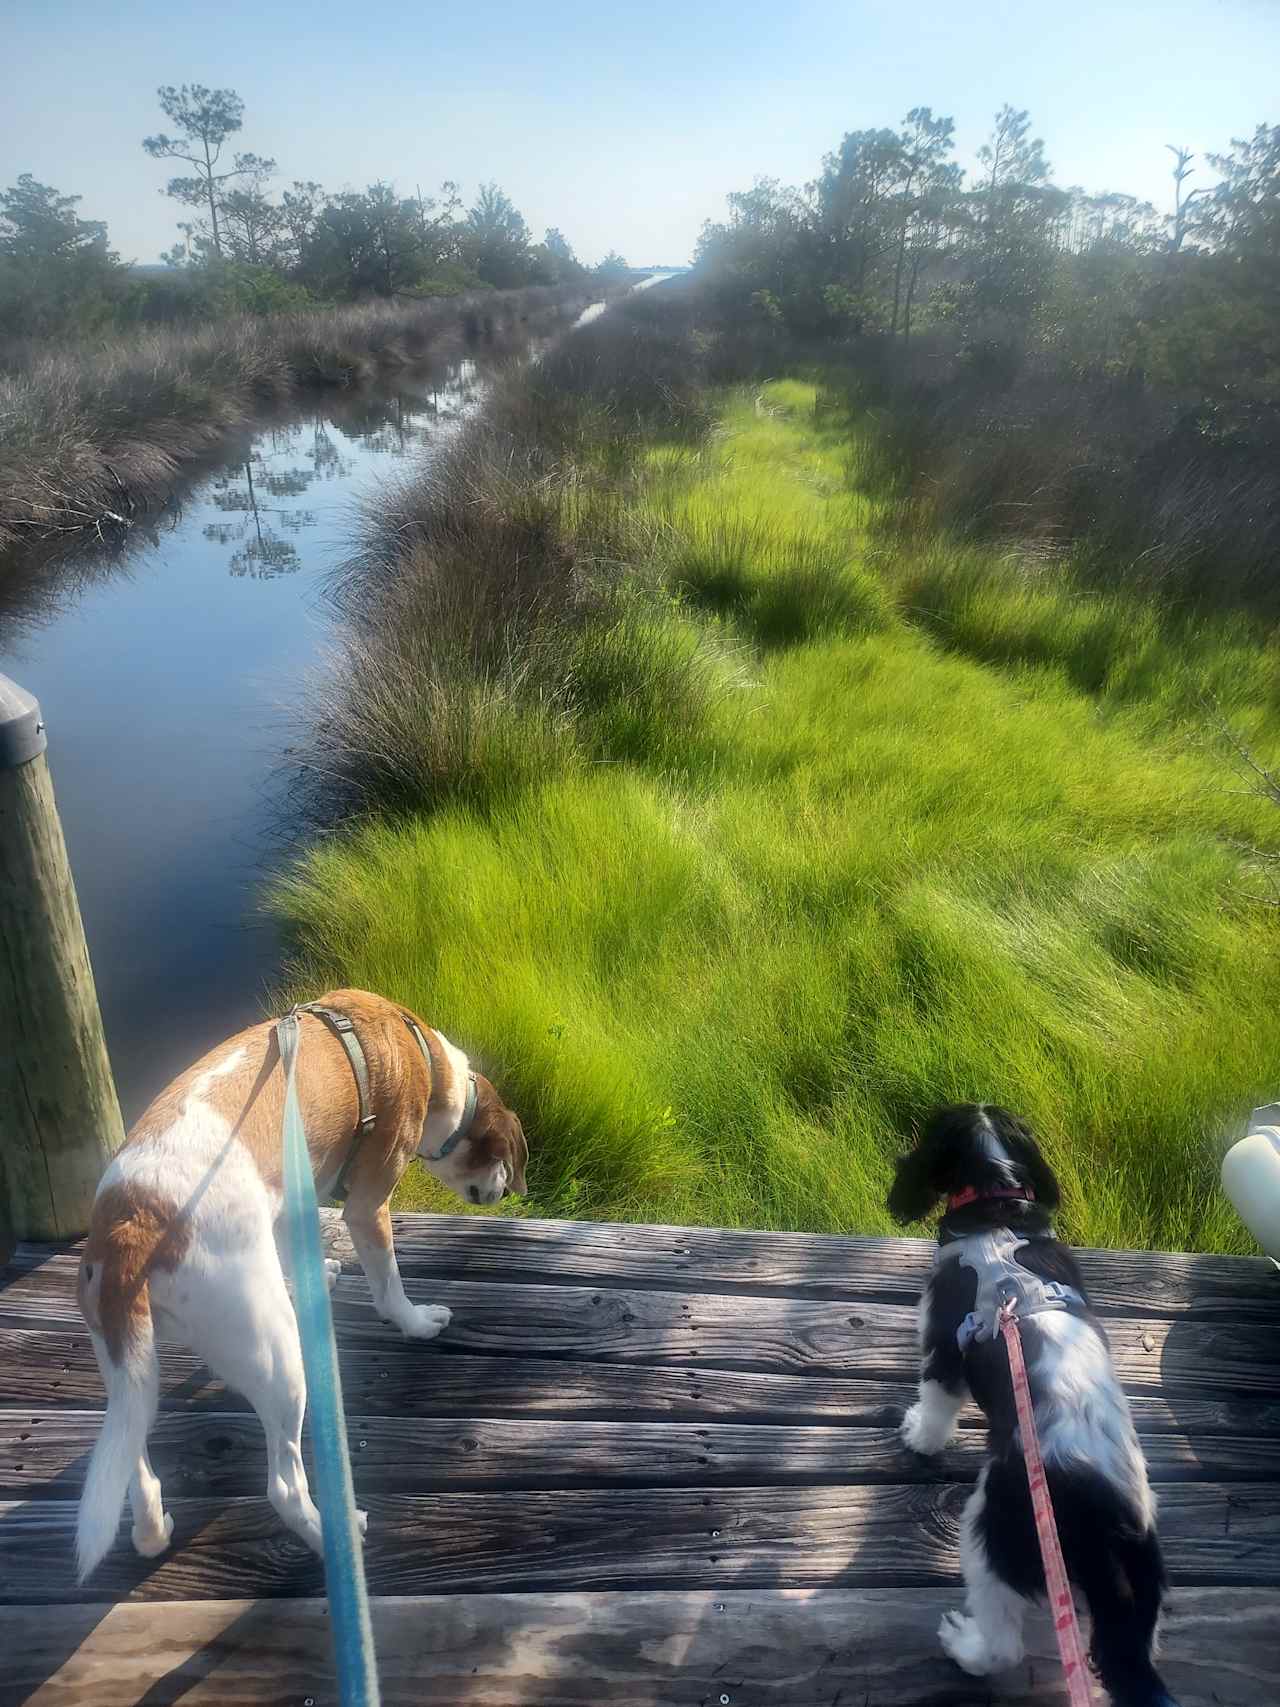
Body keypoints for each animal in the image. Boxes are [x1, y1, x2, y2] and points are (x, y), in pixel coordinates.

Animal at [75, 996, 529, 1577]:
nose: (503, 1192)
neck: (428, 1061)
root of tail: (132, 1220)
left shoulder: (296, 1193)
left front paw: (314, 1276)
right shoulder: (368, 1204)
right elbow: (388, 1283)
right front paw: (414, 1321)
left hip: (128, 1367)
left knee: (134, 1463)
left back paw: (152, 1531)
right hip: (279, 1362)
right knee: (284, 1486)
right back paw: (330, 1530)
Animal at [894, 1106, 1181, 1707]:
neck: (997, 1204)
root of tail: (1111, 1523)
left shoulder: (943, 1344)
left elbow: (935, 1402)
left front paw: (918, 1437)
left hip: (991, 1530)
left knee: (1004, 1644)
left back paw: (964, 1646)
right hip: (1142, 1596)